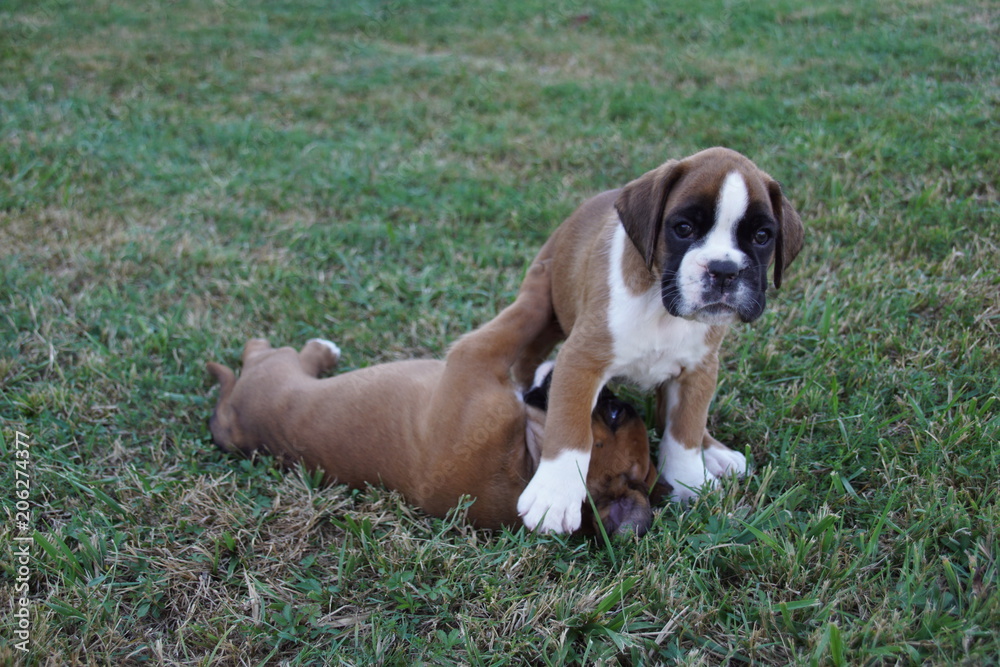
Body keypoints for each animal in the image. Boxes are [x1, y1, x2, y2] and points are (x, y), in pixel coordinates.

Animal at [205, 262, 656, 536]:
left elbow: (523, 310)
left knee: (261, 348)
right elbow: (527, 312)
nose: (613, 390)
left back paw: (319, 350)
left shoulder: (478, 351)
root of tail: (230, 422)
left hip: (277, 364)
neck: (525, 463)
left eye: (613, 411)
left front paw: (542, 273)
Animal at [516, 146, 804, 532]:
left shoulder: (699, 370)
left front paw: (690, 480)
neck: (661, 308)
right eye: (683, 229)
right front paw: (554, 496)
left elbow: (685, 430)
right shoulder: (581, 361)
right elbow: (570, 429)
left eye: (761, 236)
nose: (724, 270)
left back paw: (716, 453)